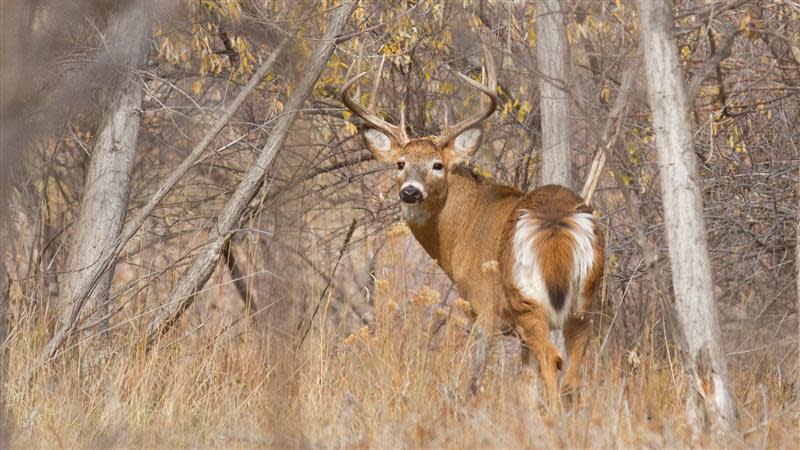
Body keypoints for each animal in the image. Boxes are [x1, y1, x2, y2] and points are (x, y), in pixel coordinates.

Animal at [340, 48, 604, 408]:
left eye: (438, 165)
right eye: (400, 163)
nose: (410, 191)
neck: (463, 229)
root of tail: (557, 225)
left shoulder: (483, 305)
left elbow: (475, 378)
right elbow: (525, 384)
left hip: (527, 299)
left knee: (553, 359)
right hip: (585, 301)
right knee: (573, 376)